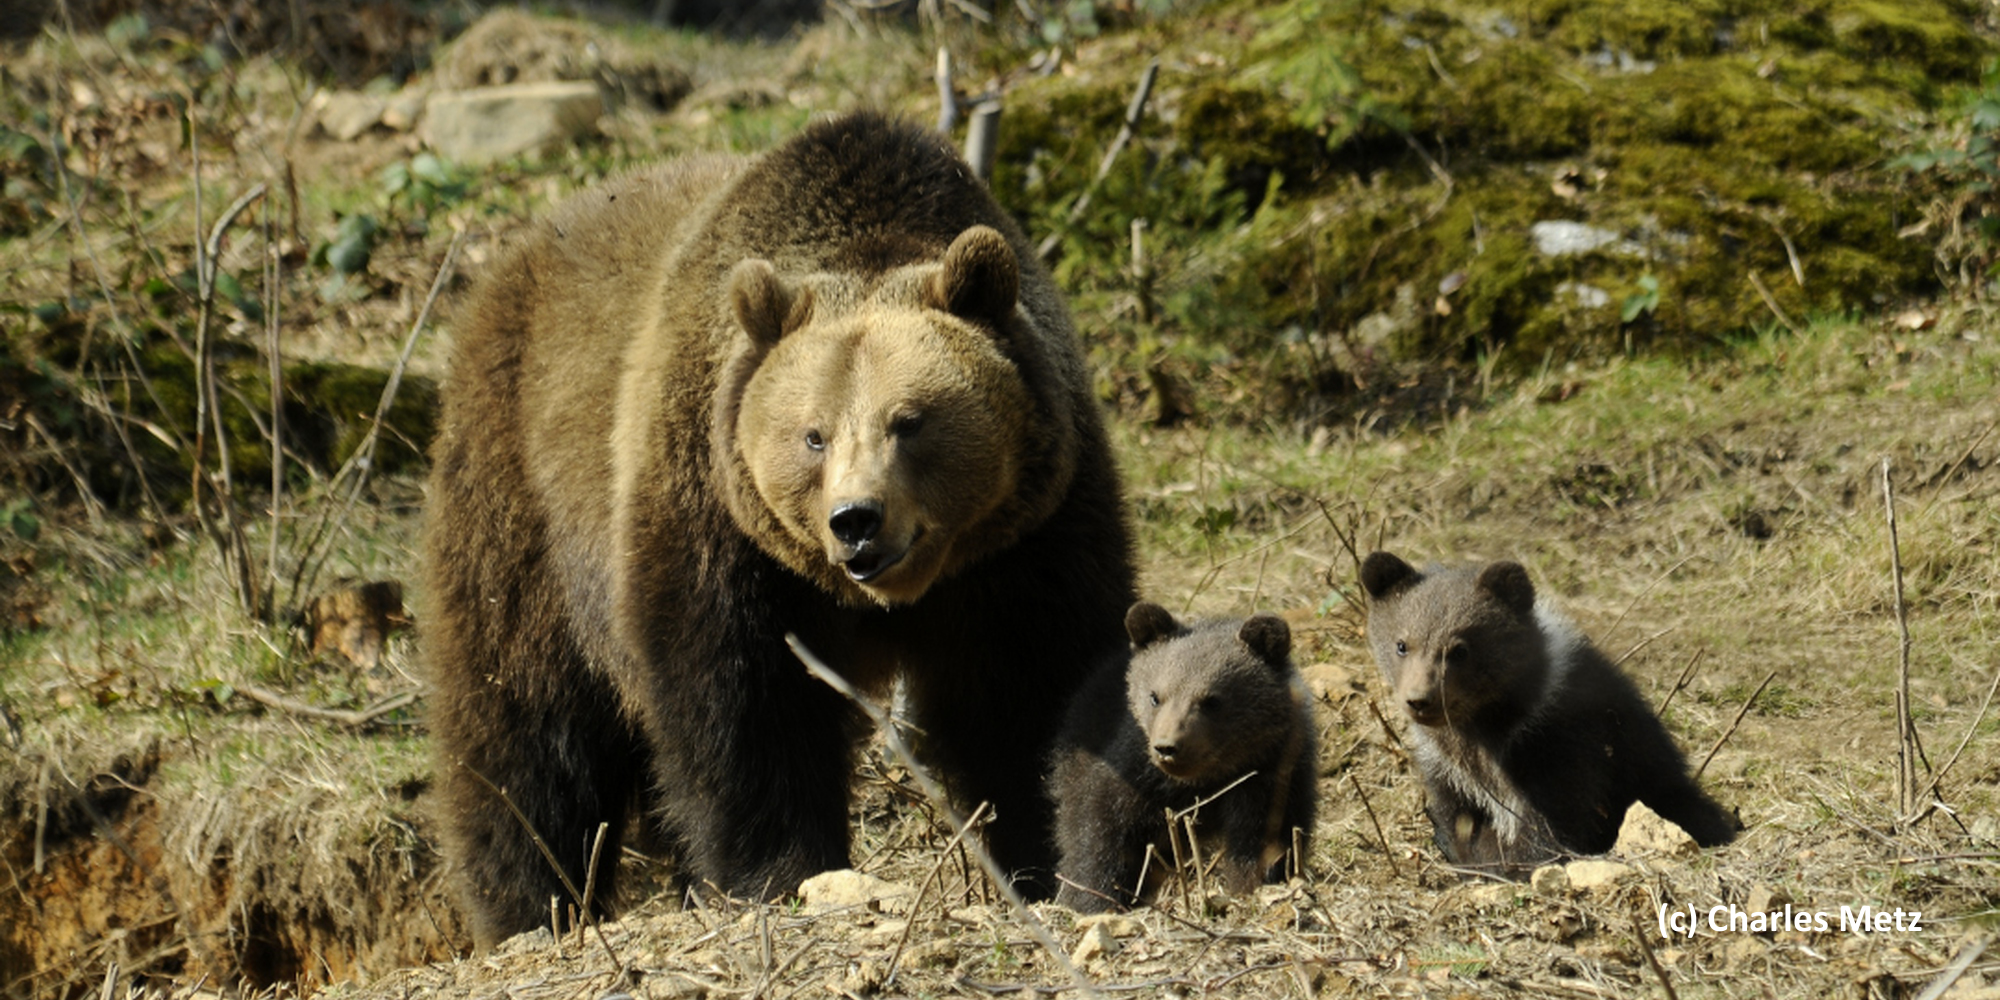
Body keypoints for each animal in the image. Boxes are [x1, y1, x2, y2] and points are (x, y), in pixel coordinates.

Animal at [424, 111, 1136, 944]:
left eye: (910, 421)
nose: (856, 521)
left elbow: (1033, 687)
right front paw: (778, 873)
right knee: (524, 721)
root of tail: (516, 254)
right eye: (813, 435)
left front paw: (1051, 856)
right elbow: (742, 704)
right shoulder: (719, 519)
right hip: (521, 491)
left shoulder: (1028, 533)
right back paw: (531, 904)